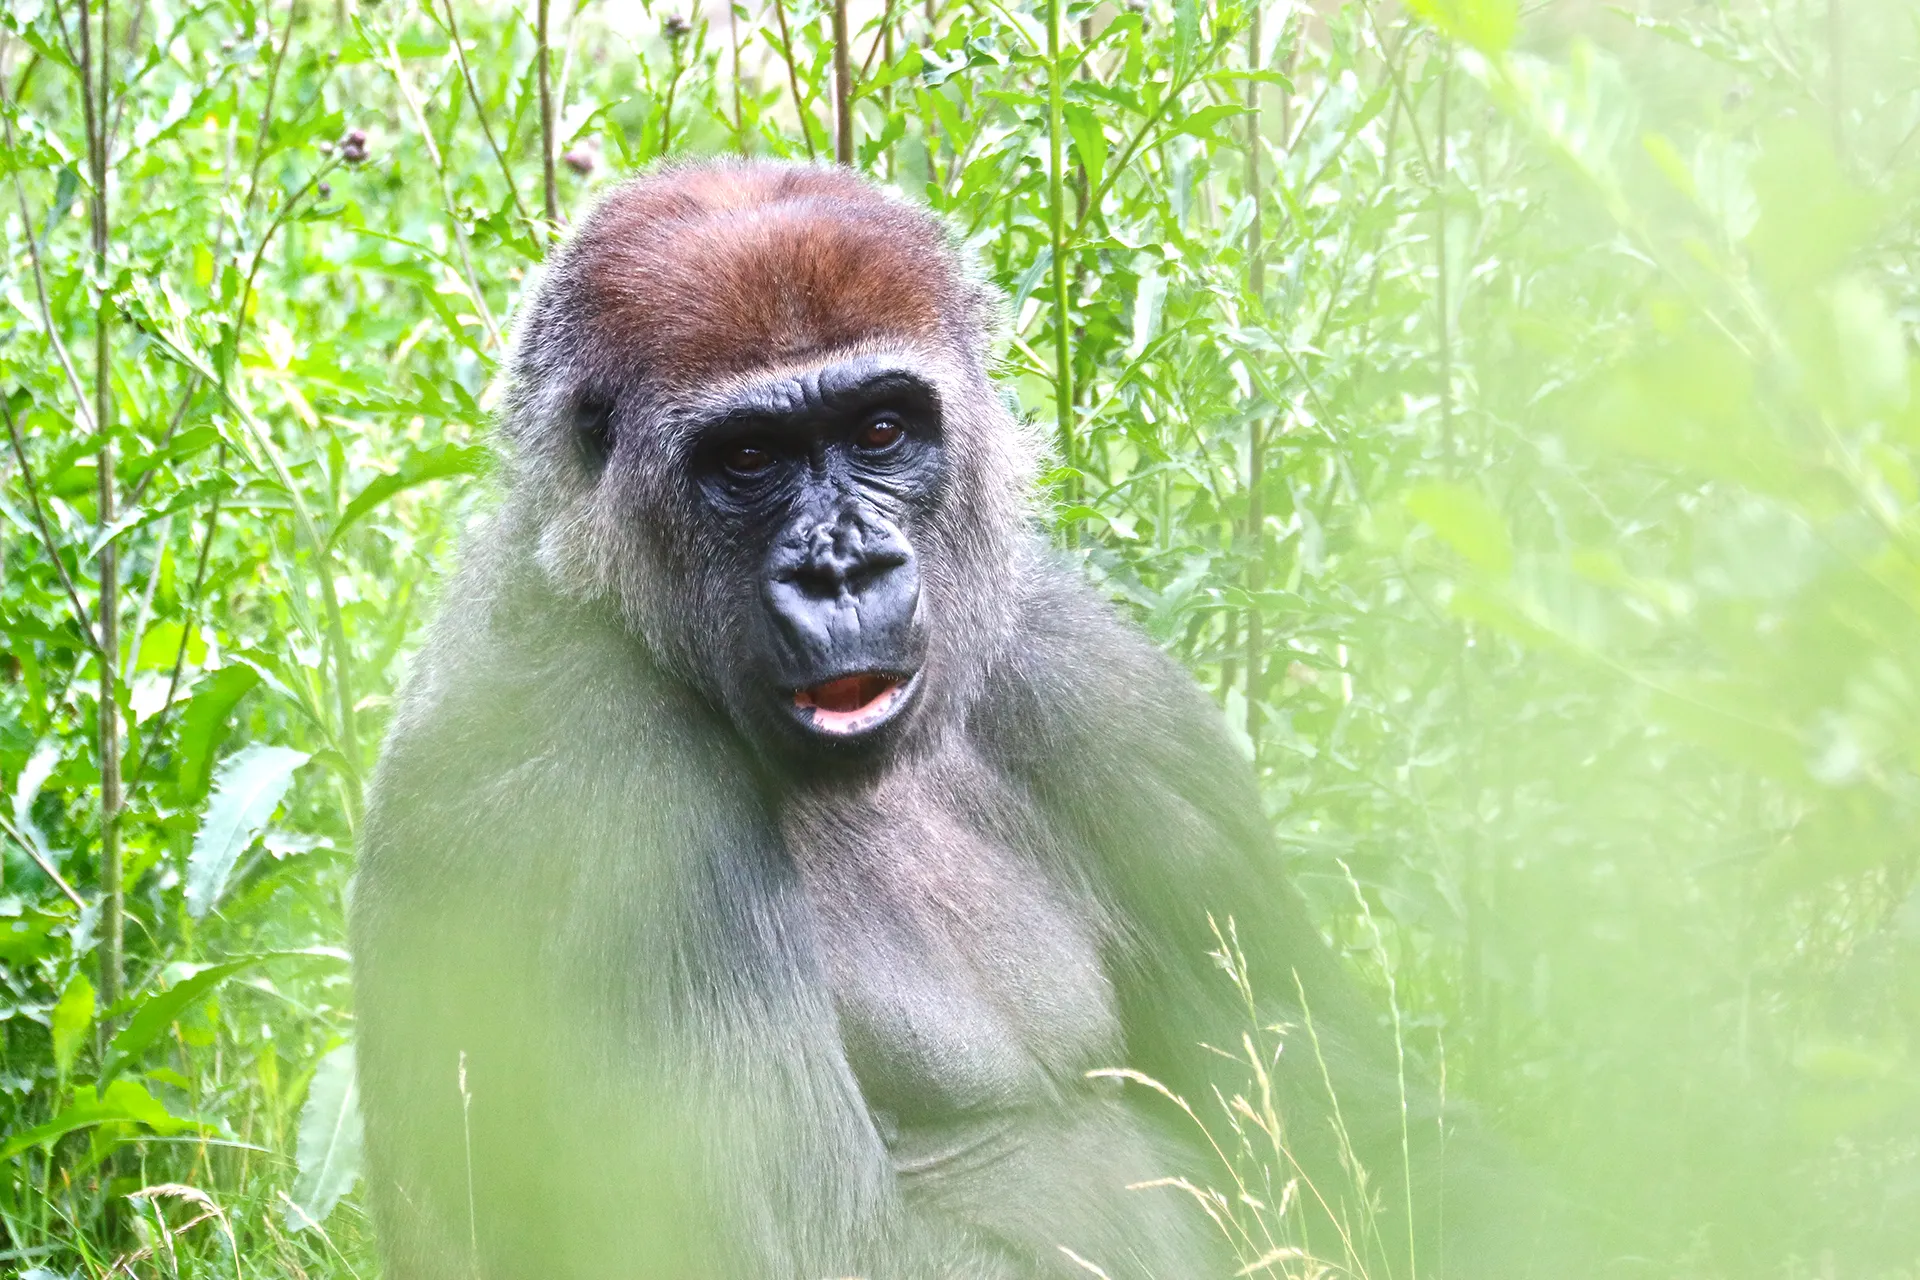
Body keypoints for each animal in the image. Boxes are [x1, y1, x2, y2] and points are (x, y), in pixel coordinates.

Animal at [351, 159, 1575, 1279]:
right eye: (747, 456)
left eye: (882, 430)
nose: (843, 570)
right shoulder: (584, 775)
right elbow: (809, 1251)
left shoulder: (1092, 683)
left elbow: (1359, 1121)